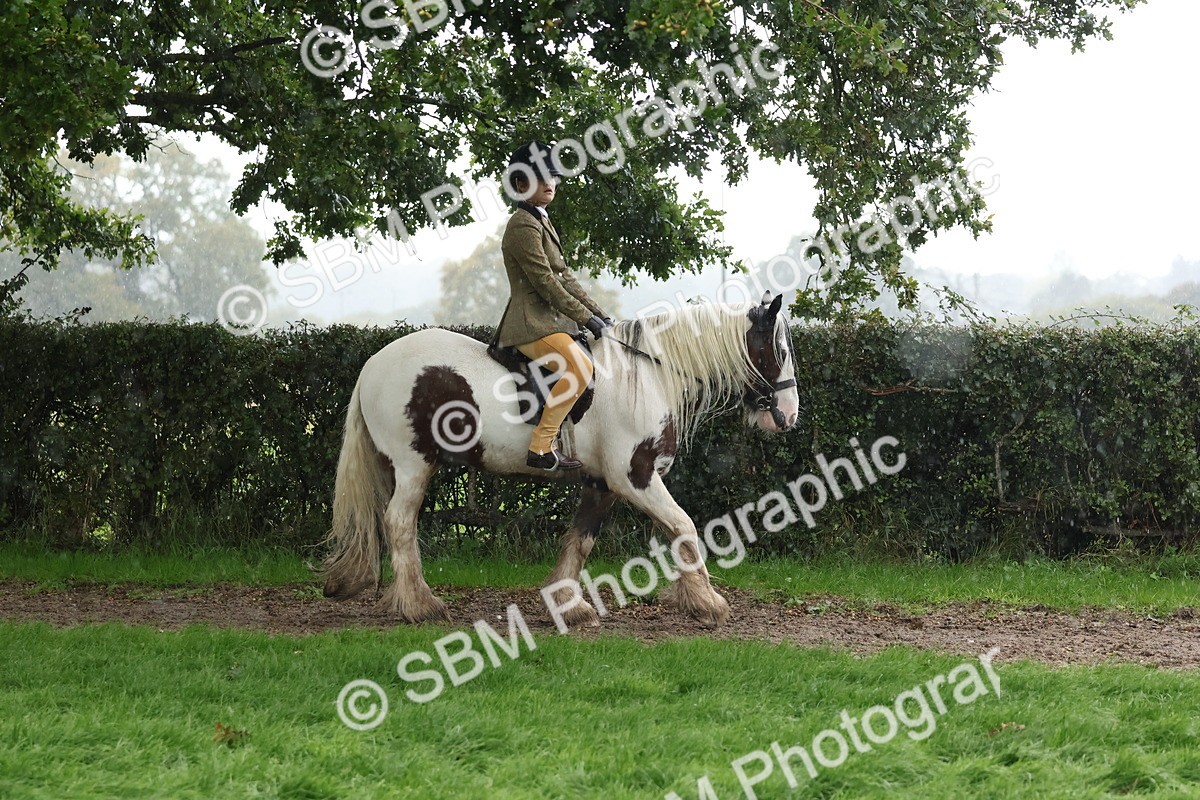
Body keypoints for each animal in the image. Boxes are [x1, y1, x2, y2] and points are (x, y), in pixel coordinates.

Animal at [321, 291, 800, 628]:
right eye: (780, 352)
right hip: (413, 465)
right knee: (400, 523)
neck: (650, 375)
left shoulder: (603, 484)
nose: (790, 415)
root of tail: (374, 362)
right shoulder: (636, 477)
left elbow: (581, 540)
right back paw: (419, 605)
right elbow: (682, 526)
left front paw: (567, 606)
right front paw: (707, 603)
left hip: (395, 467)